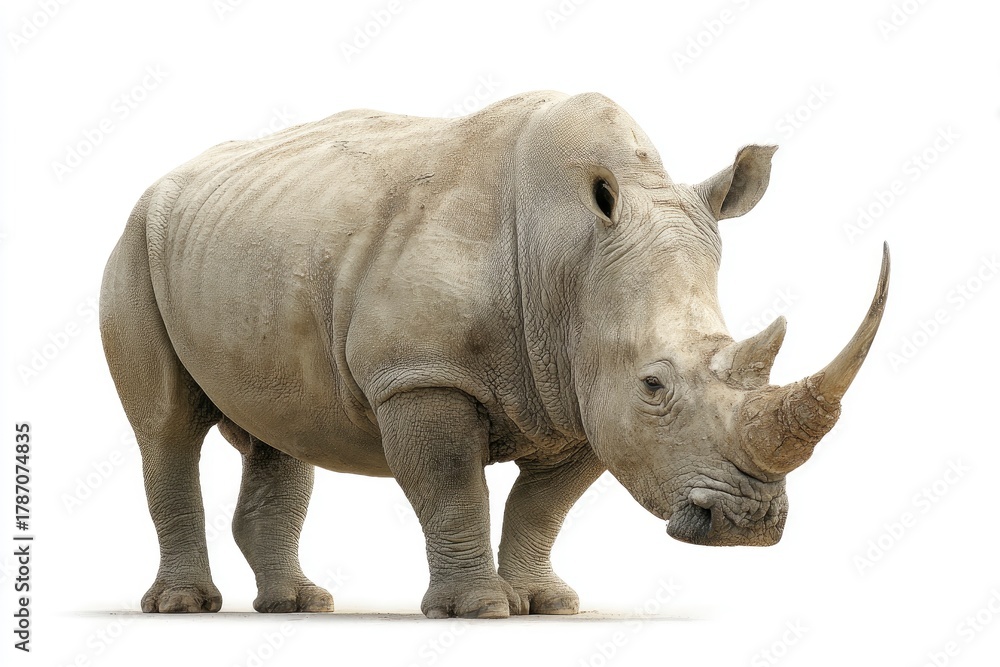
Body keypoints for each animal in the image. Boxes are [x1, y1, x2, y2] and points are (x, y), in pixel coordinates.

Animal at [100, 90, 889, 618]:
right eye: (654, 385)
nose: (746, 525)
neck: (570, 262)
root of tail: (166, 180)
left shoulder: (581, 393)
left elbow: (543, 504)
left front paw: (544, 603)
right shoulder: (423, 376)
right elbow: (453, 489)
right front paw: (478, 609)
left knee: (280, 428)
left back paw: (300, 604)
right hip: (137, 240)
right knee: (165, 430)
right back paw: (183, 605)